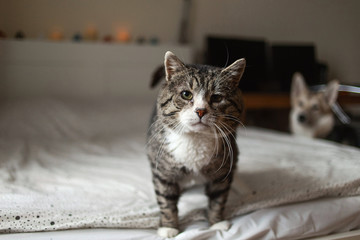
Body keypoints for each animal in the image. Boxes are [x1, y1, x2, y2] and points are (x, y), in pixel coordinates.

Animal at [146, 51, 245, 237]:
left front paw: (216, 223)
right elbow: (166, 201)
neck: (196, 139)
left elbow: (218, 199)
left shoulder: (222, 173)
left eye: (217, 97)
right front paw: (168, 227)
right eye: (186, 94)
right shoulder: (163, 172)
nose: (200, 111)